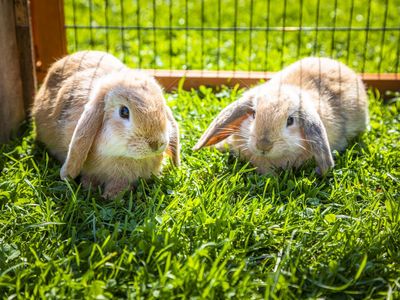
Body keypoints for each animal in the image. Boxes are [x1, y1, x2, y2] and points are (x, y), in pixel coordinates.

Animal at [32, 50, 180, 198]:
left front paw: (113, 194)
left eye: (162, 109)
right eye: (124, 112)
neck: (122, 156)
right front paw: (91, 188)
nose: (156, 144)